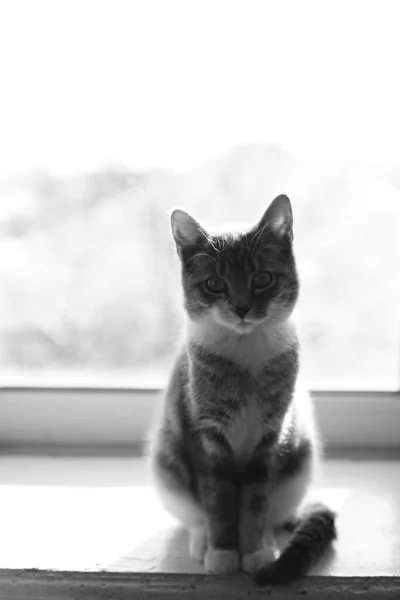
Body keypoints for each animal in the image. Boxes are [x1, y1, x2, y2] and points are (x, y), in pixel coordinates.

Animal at [148, 195, 336, 584]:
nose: (242, 308)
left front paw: (253, 552)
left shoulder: (270, 435)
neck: (245, 347)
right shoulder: (205, 434)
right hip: (166, 467)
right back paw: (202, 541)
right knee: (194, 517)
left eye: (262, 278)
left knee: (275, 513)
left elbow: (255, 502)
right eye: (215, 284)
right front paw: (222, 553)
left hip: (299, 466)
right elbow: (217, 501)